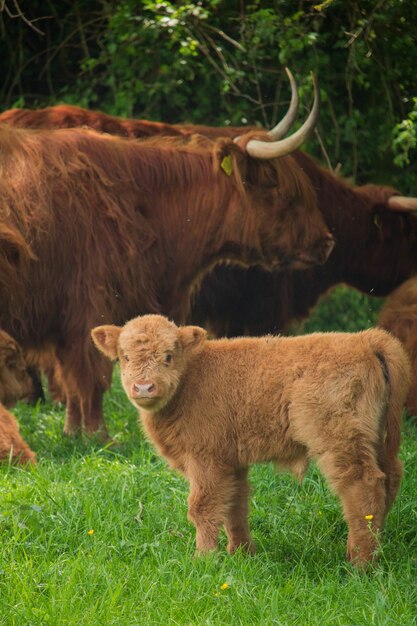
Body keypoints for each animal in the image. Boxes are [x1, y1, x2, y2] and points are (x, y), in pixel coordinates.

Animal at [92, 314, 410, 564]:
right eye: (125, 357)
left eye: (169, 356)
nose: (144, 387)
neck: (191, 378)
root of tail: (365, 340)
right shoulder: (231, 462)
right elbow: (235, 504)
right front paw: (242, 554)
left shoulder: (206, 460)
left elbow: (202, 507)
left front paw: (203, 559)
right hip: (375, 439)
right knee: (390, 478)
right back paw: (375, 546)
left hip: (339, 439)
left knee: (363, 485)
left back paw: (360, 562)